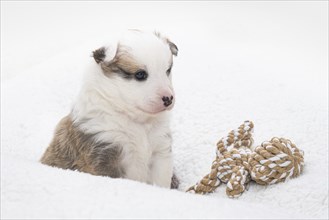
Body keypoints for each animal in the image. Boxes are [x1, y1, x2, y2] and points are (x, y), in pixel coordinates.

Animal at [41, 29, 179, 189]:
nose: (168, 98)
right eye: (140, 74)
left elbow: (161, 182)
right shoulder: (103, 154)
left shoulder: (161, 151)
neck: (137, 122)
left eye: (168, 70)